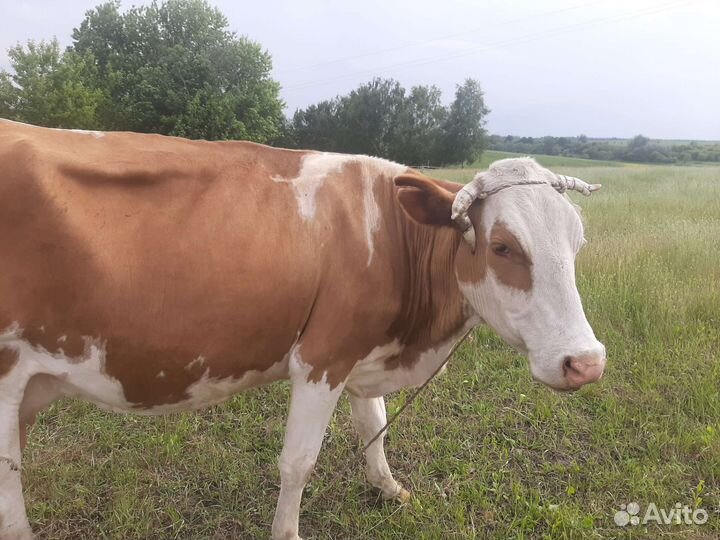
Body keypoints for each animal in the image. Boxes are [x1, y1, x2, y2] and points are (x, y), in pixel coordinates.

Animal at [0, 119, 605, 540]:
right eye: (502, 247)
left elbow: (374, 425)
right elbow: (297, 463)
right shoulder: (323, 355)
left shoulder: (363, 350)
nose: (586, 361)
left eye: (579, 242)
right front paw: (287, 530)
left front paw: (389, 488)